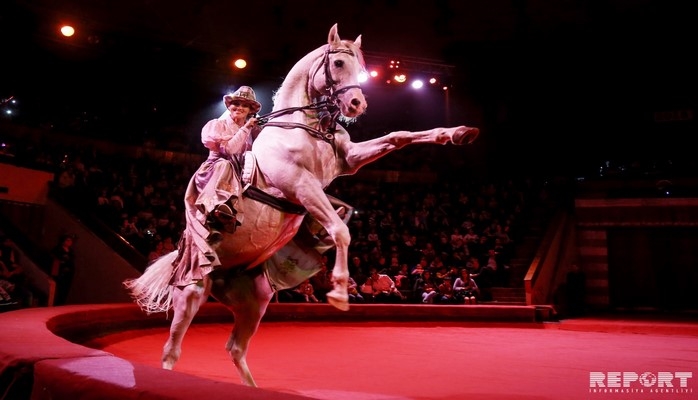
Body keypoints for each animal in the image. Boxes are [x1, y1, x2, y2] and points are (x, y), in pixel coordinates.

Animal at [125, 23, 476, 386]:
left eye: (361, 68)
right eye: (338, 63)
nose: (355, 103)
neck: (303, 126)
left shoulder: (348, 159)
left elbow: (399, 136)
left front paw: (457, 133)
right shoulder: (299, 184)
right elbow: (340, 230)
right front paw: (339, 293)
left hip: (255, 301)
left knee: (235, 348)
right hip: (193, 291)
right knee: (173, 347)